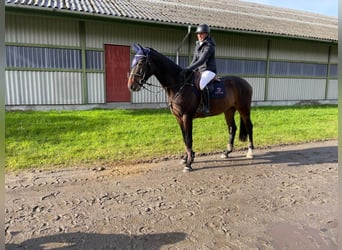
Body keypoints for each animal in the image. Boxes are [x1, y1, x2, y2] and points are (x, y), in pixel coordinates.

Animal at [127, 43, 252, 172]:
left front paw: (189, 163)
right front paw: (186, 158)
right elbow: (184, 137)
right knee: (232, 128)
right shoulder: (178, 117)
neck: (179, 85)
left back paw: (250, 152)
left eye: (140, 63)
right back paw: (227, 152)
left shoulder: (187, 116)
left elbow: (188, 138)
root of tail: (246, 83)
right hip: (229, 110)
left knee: (249, 127)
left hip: (244, 109)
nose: (131, 86)